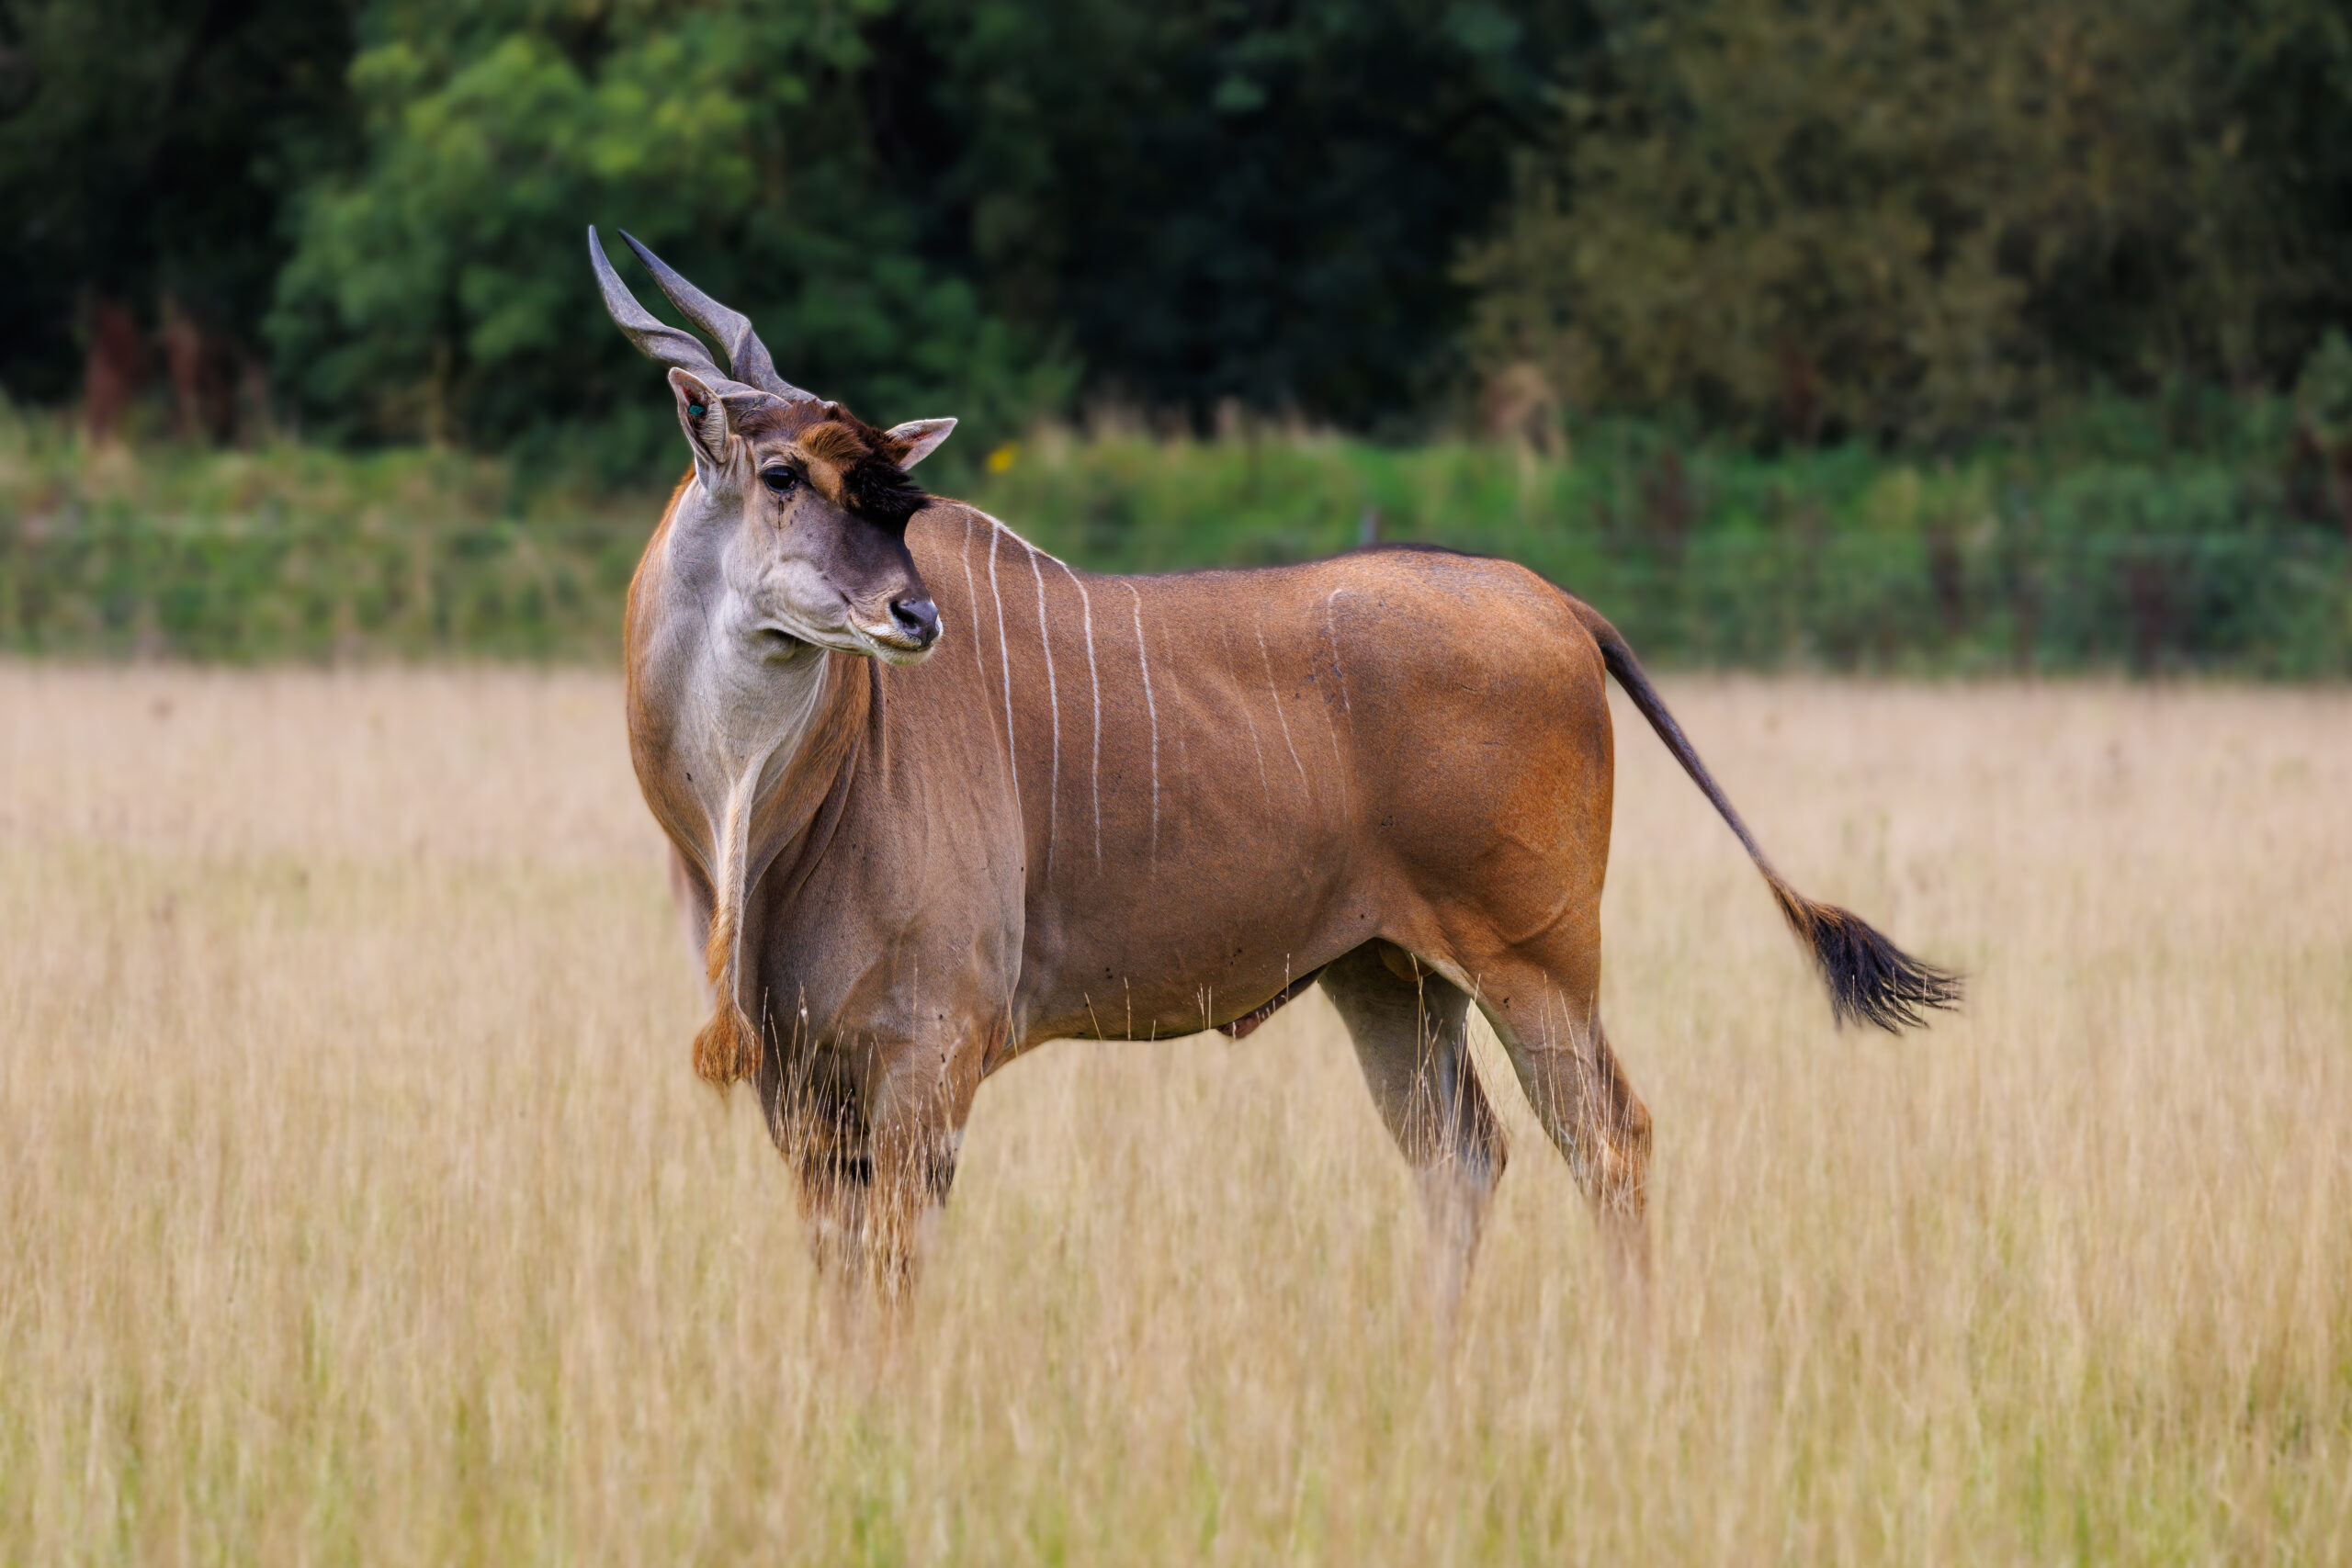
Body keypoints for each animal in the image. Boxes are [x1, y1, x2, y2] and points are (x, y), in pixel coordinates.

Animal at [593, 226, 1966, 1306]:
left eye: (893, 497)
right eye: (781, 472)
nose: (912, 615)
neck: (771, 813)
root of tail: (1554, 600)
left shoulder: (927, 1060)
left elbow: (890, 1270)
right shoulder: (803, 1088)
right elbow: (838, 1274)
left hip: (1537, 963)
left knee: (1610, 1141)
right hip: (1393, 979)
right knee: (1464, 1159)